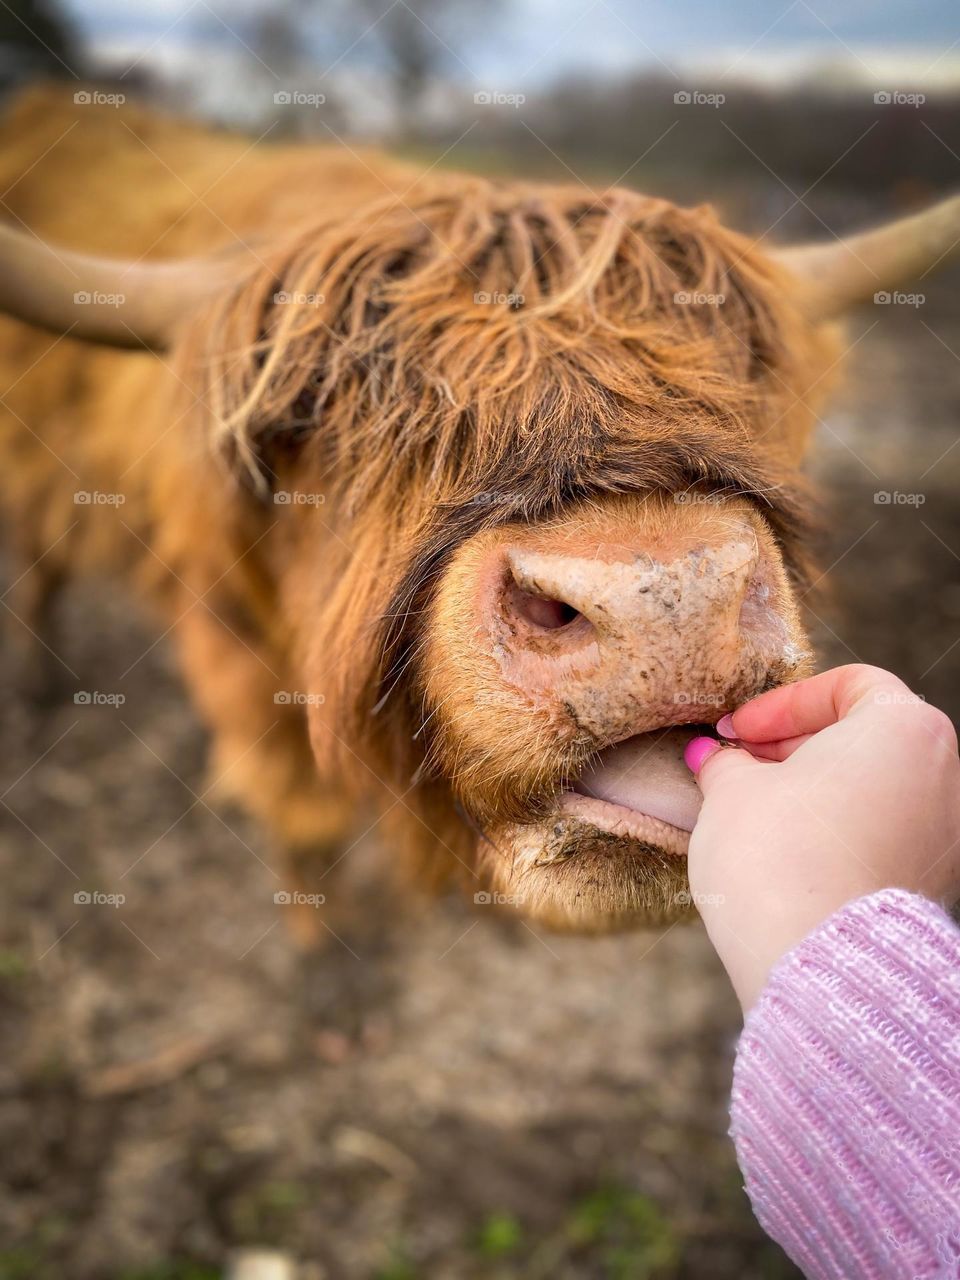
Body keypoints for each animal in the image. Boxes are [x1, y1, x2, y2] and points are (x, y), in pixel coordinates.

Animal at [1, 86, 956, 939]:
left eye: (739, 378)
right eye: (327, 419)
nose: (666, 599)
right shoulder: (235, 650)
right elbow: (300, 810)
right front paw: (318, 936)